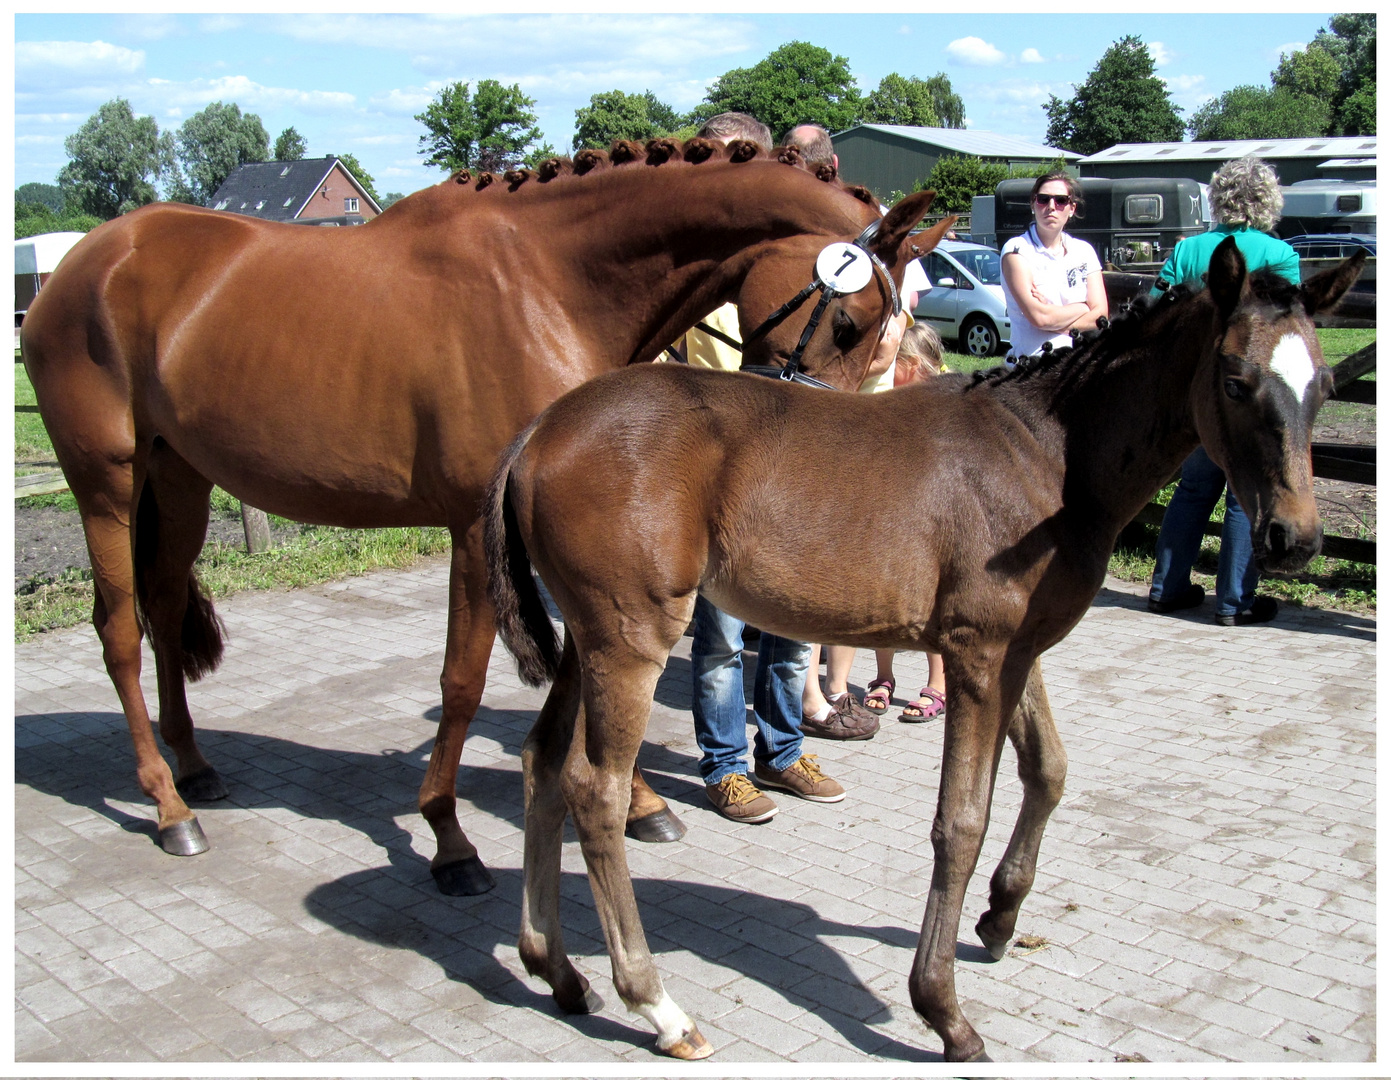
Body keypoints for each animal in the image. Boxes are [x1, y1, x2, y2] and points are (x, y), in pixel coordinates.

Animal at [19, 135, 934, 890]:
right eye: (848, 321)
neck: (548, 280)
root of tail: (88, 258)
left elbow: (583, 675)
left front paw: (640, 805)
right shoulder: (475, 526)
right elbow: (463, 682)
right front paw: (448, 838)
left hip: (178, 477)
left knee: (163, 607)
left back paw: (194, 766)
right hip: (105, 481)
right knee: (120, 631)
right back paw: (169, 807)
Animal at [486, 240, 1357, 1057]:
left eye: (1323, 385)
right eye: (1235, 380)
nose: (1293, 539)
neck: (1048, 454)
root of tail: (538, 429)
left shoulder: (1017, 651)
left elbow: (1048, 770)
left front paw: (1000, 918)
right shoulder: (977, 657)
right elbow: (961, 819)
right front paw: (943, 1010)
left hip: (586, 644)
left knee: (541, 764)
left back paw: (556, 969)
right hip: (628, 641)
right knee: (595, 790)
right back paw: (658, 1007)